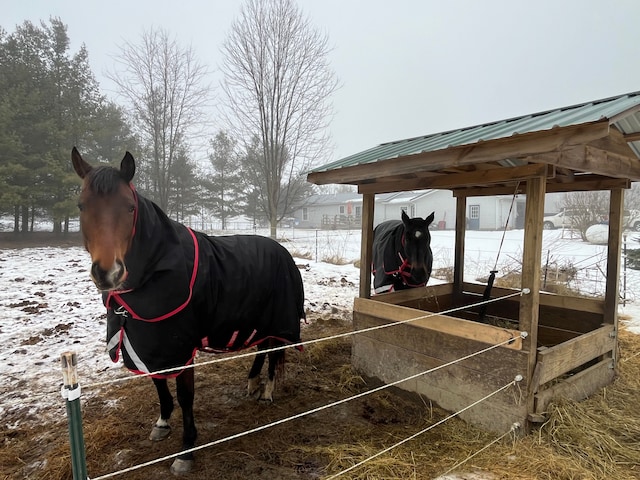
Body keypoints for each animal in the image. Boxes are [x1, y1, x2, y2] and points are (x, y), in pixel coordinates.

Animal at [71, 148, 306, 474]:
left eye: (129, 207)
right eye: (82, 205)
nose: (108, 273)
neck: (156, 271)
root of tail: (281, 249)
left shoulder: (181, 348)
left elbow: (185, 397)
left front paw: (186, 452)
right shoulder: (150, 342)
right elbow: (158, 383)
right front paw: (162, 423)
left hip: (277, 318)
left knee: (273, 351)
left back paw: (267, 392)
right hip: (258, 319)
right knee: (262, 349)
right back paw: (251, 383)